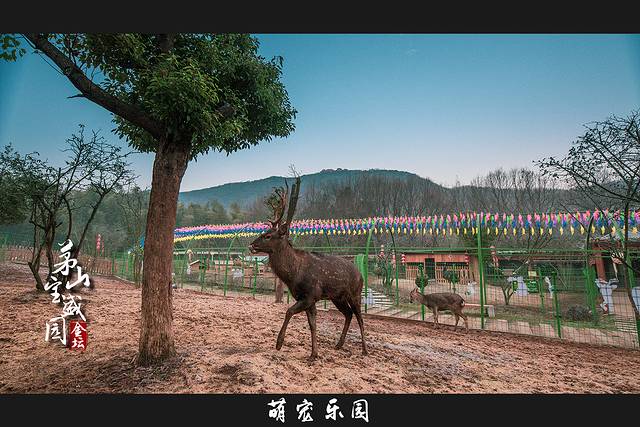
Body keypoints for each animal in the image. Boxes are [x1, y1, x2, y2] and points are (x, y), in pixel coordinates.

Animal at [250, 177, 370, 362]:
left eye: (268, 235)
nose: (252, 245)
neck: (293, 275)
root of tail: (361, 274)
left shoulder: (310, 295)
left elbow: (289, 311)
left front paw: (279, 343)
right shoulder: (307, 299)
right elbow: (312, 324)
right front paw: (314, 354)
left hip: (355, 293)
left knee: (360, 317)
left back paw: (364, 350)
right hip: (338, 297)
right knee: (348, 314)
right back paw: (339, 344)